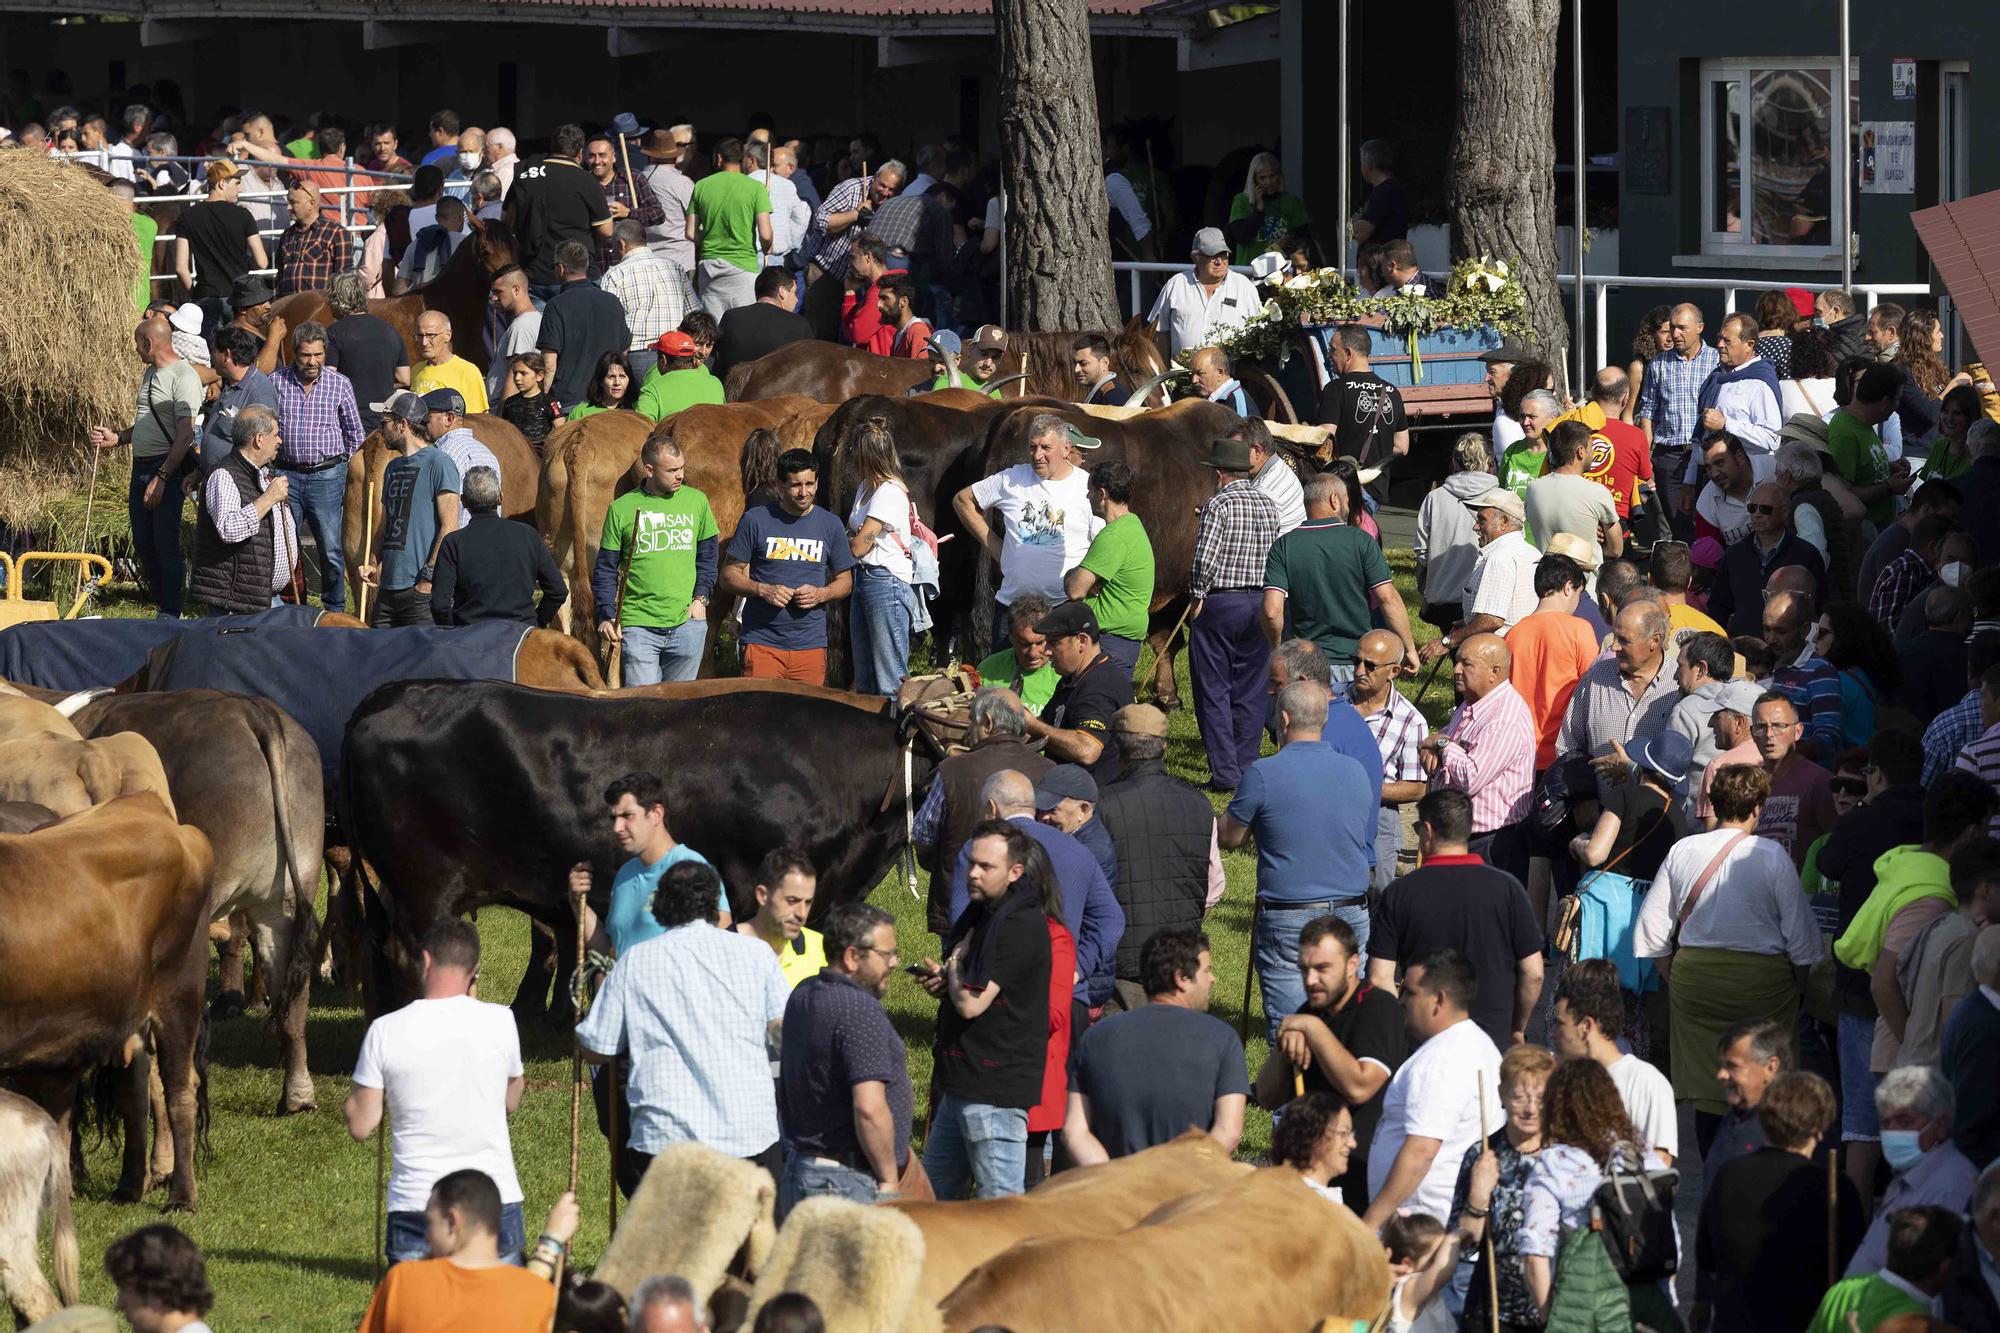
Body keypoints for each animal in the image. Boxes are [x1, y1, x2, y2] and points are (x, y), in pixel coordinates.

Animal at [0, 792, 214, 1208]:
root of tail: (149, 805)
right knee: (135, 1091)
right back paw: (128, 1186)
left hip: (179, 991)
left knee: (180, 1090)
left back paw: (181, 1195)